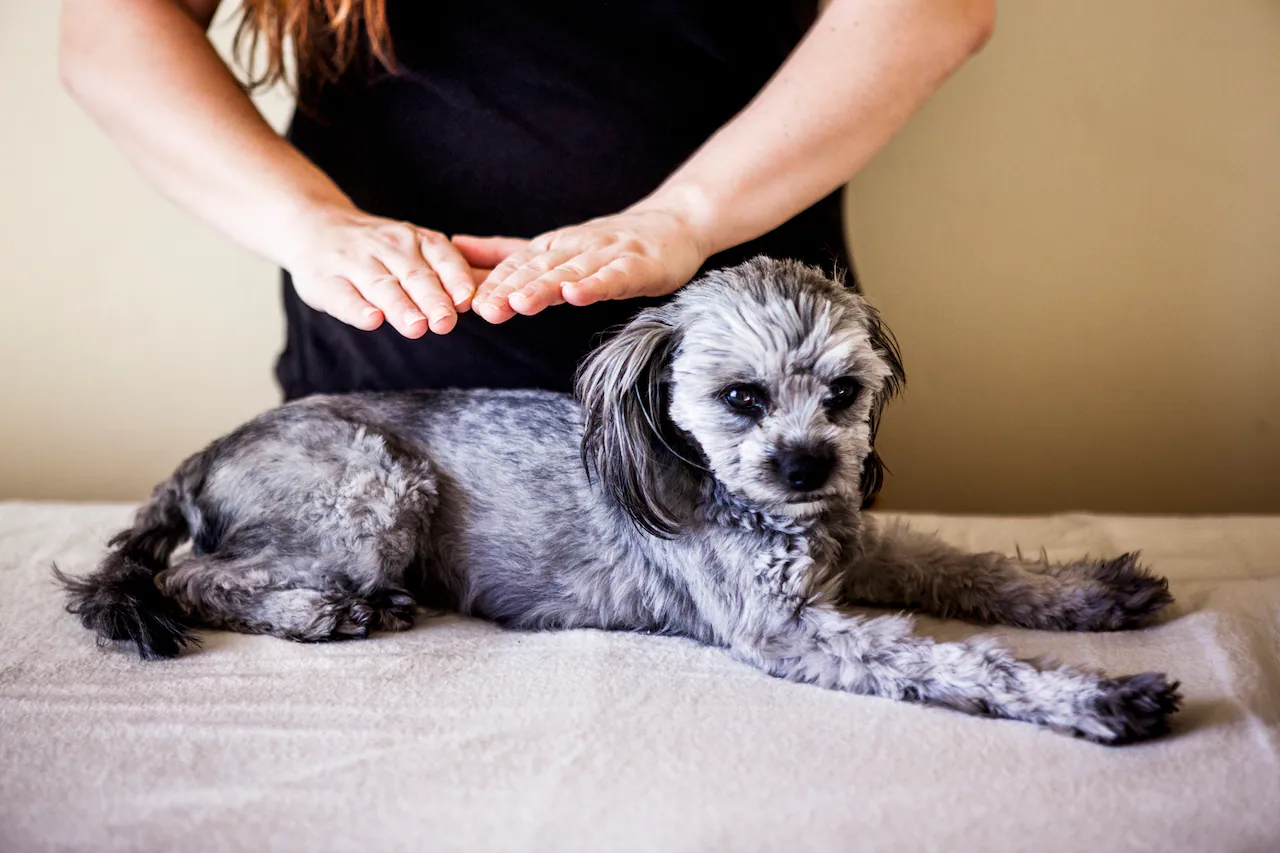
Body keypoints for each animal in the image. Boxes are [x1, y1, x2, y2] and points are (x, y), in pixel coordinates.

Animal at [57, 256, 1177, 742]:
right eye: (740, 397)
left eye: (842, 392)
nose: (810, 467)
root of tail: (202, 456)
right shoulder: (786, 628)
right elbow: (961, 660)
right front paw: (1092, 696)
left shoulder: (859, 548)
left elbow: (965, 565)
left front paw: (1089, 594)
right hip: (375, 487)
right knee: (196, 575)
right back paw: (323, 610)